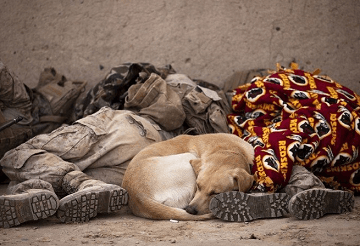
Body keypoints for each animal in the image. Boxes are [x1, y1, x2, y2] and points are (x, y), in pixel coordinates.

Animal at [122, 134, 255, 220]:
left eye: (215, 193)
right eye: (198, 185)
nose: (190, 210)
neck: (228, 150)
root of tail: (138, 196)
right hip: (188, 156)